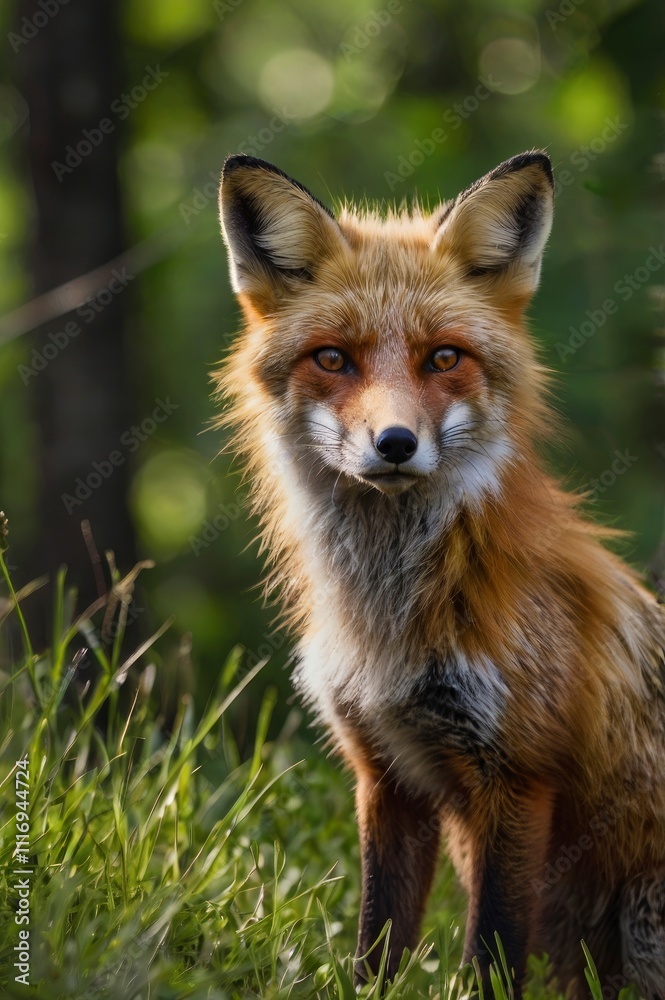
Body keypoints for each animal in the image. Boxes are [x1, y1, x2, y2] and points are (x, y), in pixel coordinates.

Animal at [216, 150, 665, 998]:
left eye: (443, 358)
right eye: (334, 359)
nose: (393, 443)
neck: (392, 618)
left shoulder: (516, 776)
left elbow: (489, 951)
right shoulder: (385, 772)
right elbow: (376, 944)